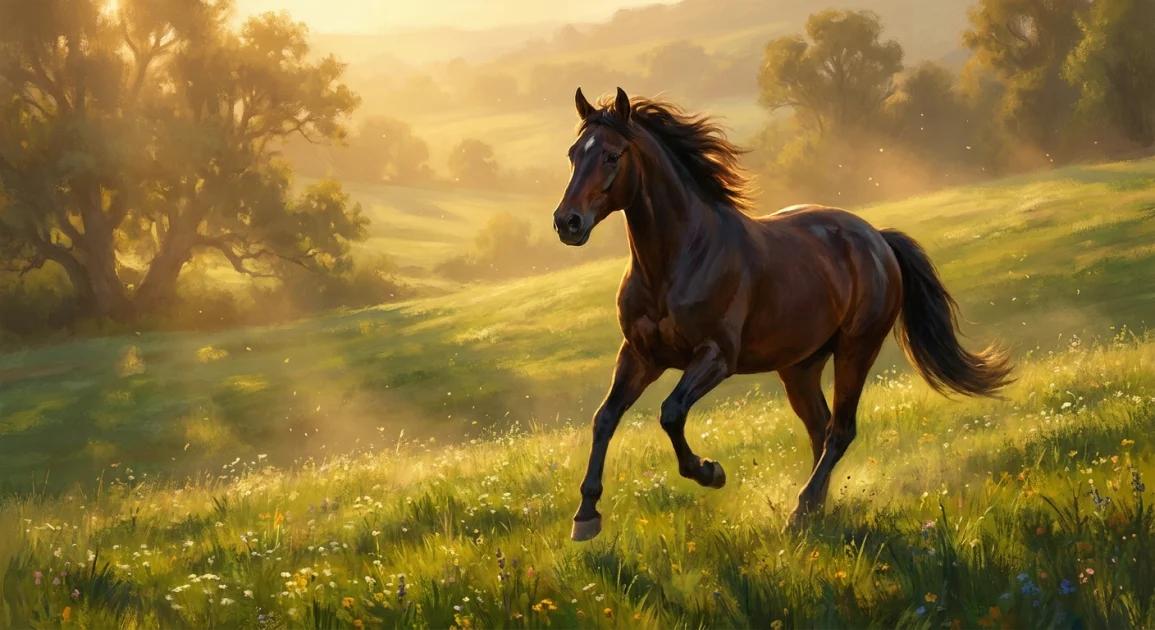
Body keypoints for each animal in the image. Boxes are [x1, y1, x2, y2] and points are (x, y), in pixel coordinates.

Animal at [552, 87, 1014, 542]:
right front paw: (586, 515)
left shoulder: (716, 356)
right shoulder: (640, 355)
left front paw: (710, 472)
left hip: (856, 350)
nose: (567, 223)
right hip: (800, 366)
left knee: (840, 430)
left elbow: (671, 411)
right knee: (820, 428)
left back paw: (801, 510)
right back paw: (815, 510)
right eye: (573, 154)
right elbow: (605, 418)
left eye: (612, 155)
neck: (674, 261)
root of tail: (877, 238)